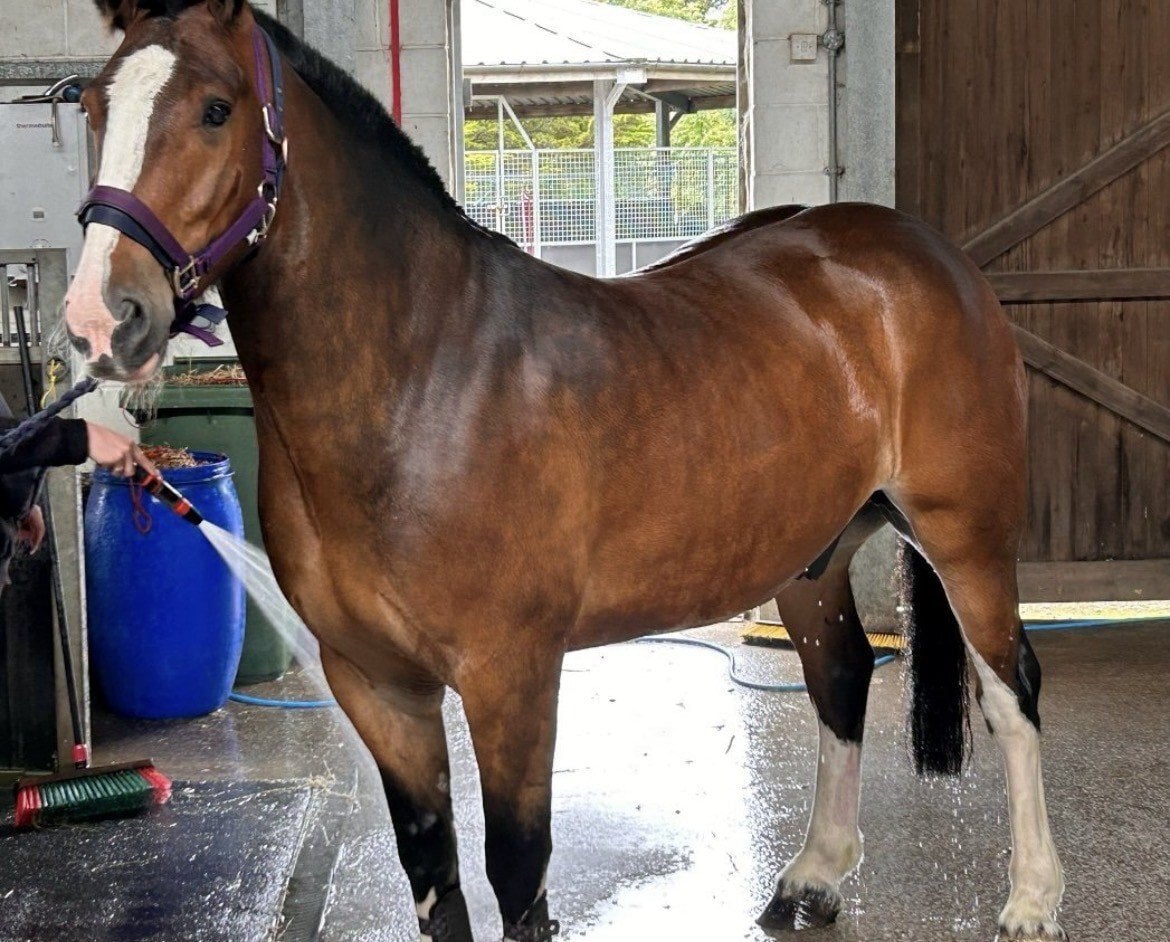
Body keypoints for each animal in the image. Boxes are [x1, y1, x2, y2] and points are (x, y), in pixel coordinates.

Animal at [65, 2, 1065, 940]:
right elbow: (431, 867)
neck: (422, 377)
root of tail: (926, 254)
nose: (102, 318)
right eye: (93, 105)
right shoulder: (375, 685)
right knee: (844, 679)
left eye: (216, 109)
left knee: (1012, 691)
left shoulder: (511, 676)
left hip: (966, 538)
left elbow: (517, 869)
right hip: (809, 561)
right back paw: (812, 880)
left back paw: (1032, 899)